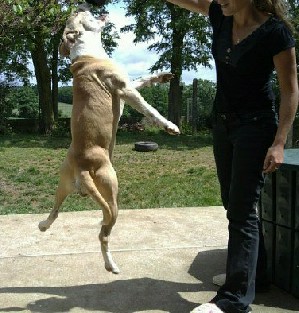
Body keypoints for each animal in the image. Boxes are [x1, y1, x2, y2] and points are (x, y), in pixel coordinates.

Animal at [38, 4, 179, 272]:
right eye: (75, 13)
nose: (82, 4)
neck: (87, 52)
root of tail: (82, 168)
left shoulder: (128, 84)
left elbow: (144, 79)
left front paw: (162, 76)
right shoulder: (123, 88)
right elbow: (149, 109)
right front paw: (169, 125)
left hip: (63, 185)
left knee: (55, 210)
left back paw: (42, 225)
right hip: (111, 192)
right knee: (103, 233)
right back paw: (111, 265)